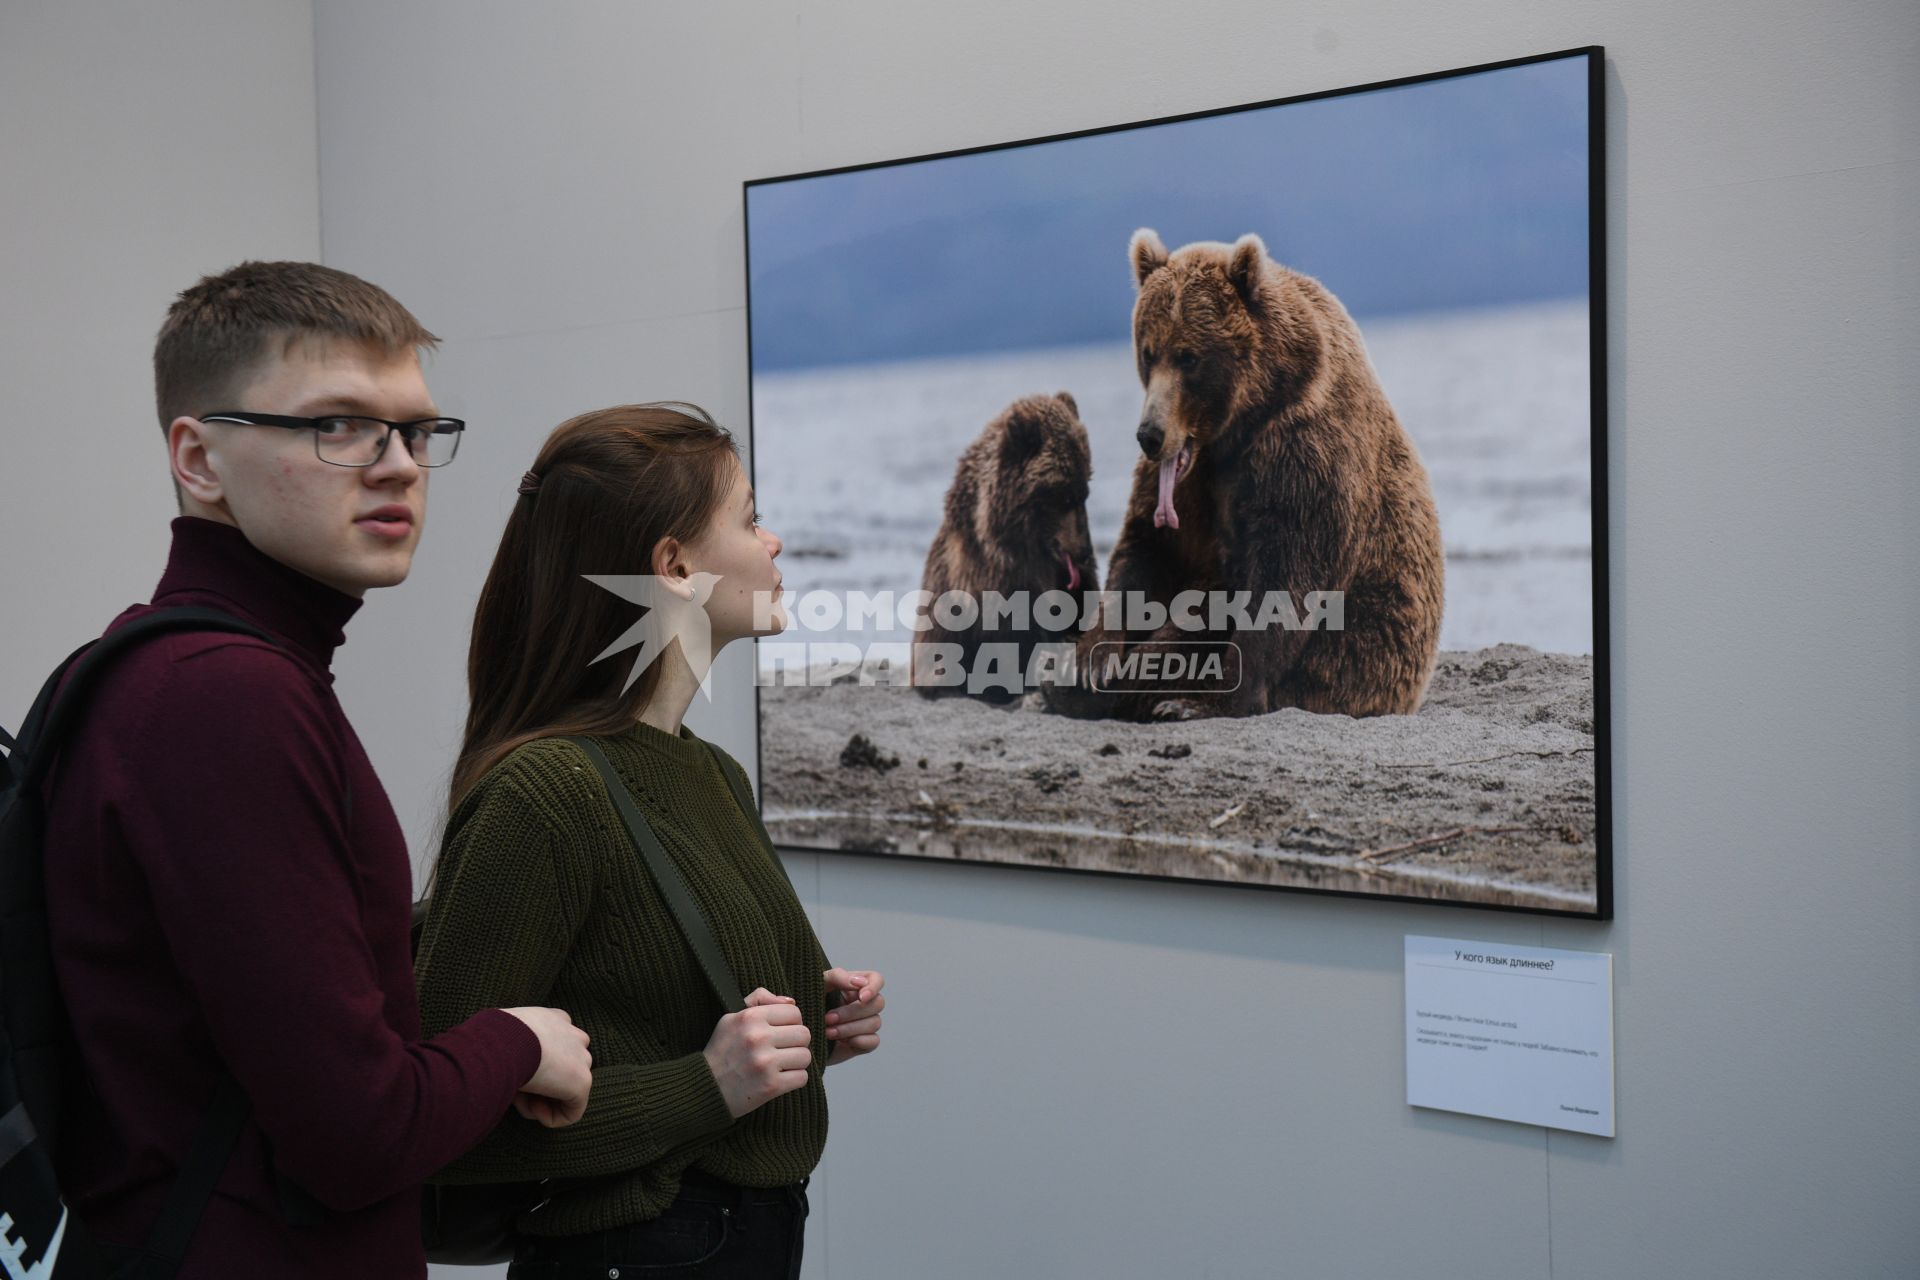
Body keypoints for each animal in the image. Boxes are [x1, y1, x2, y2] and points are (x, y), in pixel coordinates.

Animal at [1052, 230, 1443, 721]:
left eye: (1189, 357)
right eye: (1148, 352)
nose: (1149, 435)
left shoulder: (1302, 453)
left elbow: (1285, 580)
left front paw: (1204, 700)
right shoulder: (1187, 476)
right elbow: (1148, 546)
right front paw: (1092, 659)